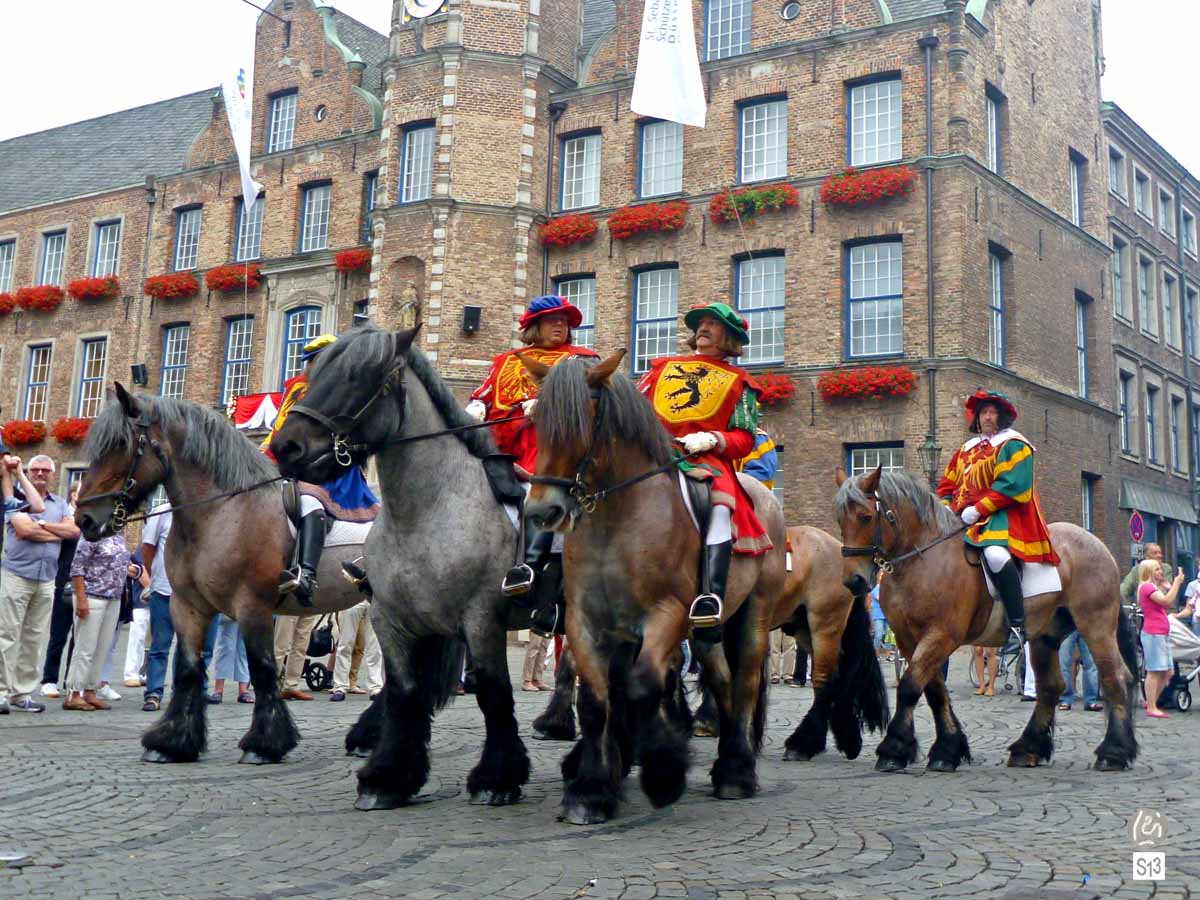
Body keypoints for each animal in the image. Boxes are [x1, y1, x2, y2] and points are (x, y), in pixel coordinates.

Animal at [75, 388, 364, 768]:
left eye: (121, 444)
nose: (84, 520)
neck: (222, 512)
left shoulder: (253, 607)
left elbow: (262, 669)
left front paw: (264, 744)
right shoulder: (188, 607)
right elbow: (188, 669)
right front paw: (172, 741)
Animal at [272, 328, 535, 816]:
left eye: (357, 376)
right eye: (313, 374)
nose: (286, 447)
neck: (427, 510)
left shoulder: (481, 619)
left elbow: (494, 693)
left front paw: (497, 778)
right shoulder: (392, 618)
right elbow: (405, 691)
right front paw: (387, 777)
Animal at [523, 350, 787, 825]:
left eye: (583, 421)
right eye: (536, 423)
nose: (542, 512)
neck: (616, 521)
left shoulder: (666, 614)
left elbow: (642, 684)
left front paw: (663, 770)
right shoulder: (585, 621)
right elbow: (595, 701)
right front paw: (591, 789)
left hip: (753, 614)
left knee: (744, 682)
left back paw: (736, 772)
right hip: (707, 630)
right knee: (720, 680)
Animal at [835, 468, 1132, 772]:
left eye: (865, 517)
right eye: (839, 519)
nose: (854, 580)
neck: (923, 561)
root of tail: (1099, 546)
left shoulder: (941, 635)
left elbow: (909, 687)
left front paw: (893, 749)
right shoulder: (909, 639)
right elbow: (933, 690)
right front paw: (947, 749)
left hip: (1095, 625)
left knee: (1115, 677)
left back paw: (1113, 753)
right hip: (1044, 636)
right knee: (1051, 687)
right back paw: (1028, 748)